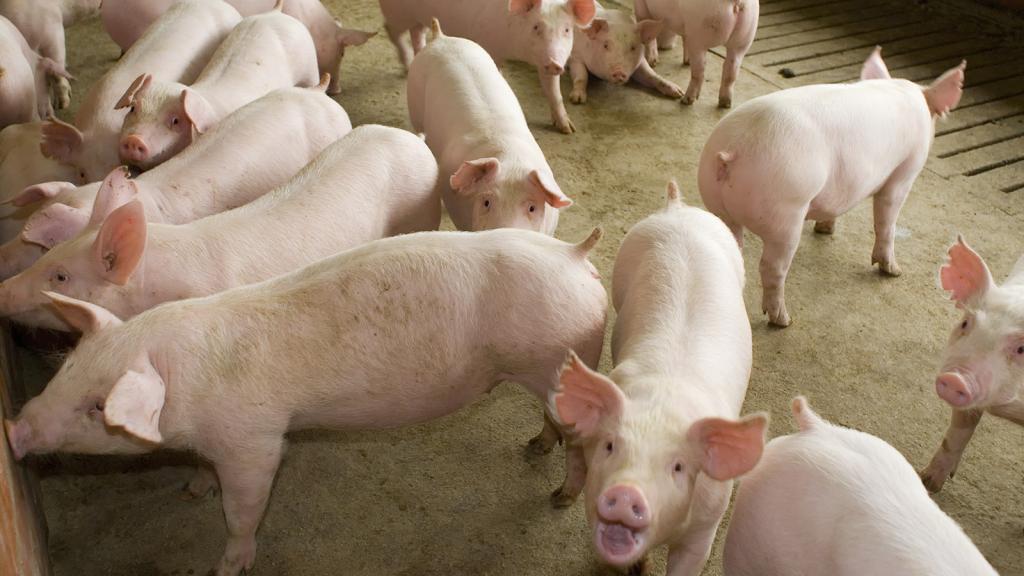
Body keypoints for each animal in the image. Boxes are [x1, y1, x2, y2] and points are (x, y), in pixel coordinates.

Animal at [4, 226, 608, 576]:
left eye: (98, 407)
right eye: (68, 369)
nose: (15, 429)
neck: (187, 379)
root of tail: (574, 255)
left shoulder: (255, 441)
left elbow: (242, 509)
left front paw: (227, 567)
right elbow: (205, 475)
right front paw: (192, 488)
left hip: (553, 359)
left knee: (582, 445)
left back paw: (557, 495)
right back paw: (534, 446)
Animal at [380, 0, 597, 134]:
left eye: (567, 30)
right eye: (536, 27)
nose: (554, 63)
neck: (516, 51)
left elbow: (554, 92)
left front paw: (568, 129)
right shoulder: (489, 46)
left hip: (418, 18)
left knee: (416, 32)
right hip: (396, 13)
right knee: (392, 31)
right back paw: (407, 64)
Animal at [551, 182, 767, 576]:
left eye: (678, 466)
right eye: (610, 446)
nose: (626, 493)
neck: (663, 401)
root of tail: (677, 207)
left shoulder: (707, 523)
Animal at [698, 48, 966, 327]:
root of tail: (733, 151)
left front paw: (825, 229)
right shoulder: (904, 171)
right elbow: (887, 220)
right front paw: (894, 271)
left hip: (715, 202)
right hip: (785, 211)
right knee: (772, 267)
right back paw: (783, 320)